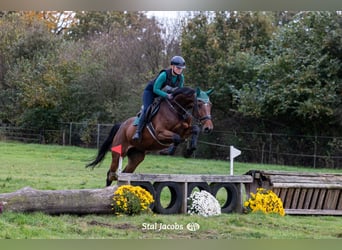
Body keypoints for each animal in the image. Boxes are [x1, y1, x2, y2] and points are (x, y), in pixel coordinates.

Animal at [86, 86, 214, 186]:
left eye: (210, 105)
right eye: (200, 104)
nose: (208, 128)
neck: (177, 110)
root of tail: (122, 125)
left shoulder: (185, 130)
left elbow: (194, 130)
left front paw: (189, 151)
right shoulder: (160, 133)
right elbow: (176, 138)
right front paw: (167, 151)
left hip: (136, 156)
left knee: (125, 173)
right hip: (118, 152)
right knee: (110, 174)